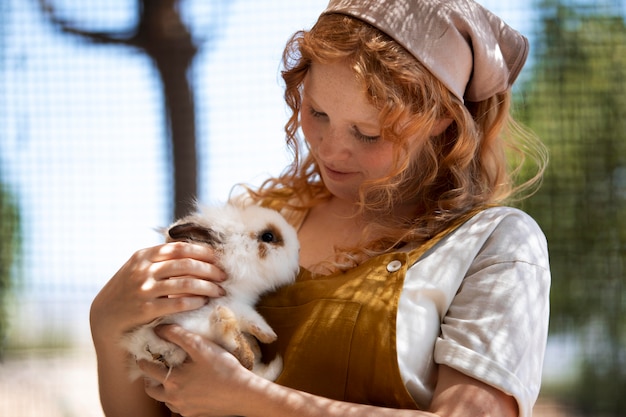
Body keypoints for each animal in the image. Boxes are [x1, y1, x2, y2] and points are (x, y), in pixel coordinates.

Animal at [121, 200, 300, 382]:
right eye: (268, 236)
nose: (298, 248)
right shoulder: (231, 302)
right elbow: (248, 316)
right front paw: (269, 334)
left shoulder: (235, 303)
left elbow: (249, 318)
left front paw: (268, 335)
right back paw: (225, 321)